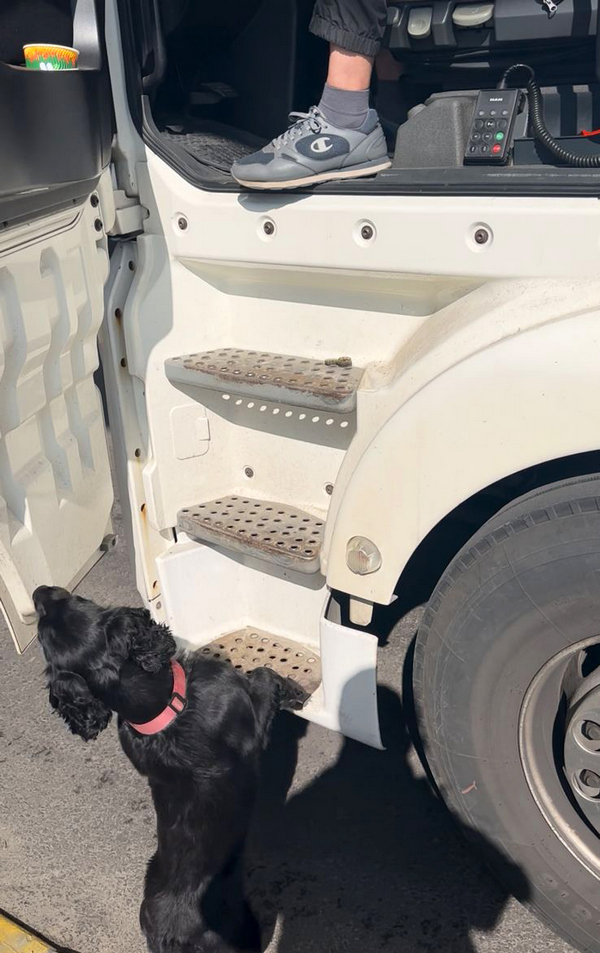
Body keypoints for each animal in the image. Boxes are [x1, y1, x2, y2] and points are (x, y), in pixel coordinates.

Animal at [34, 585, 308, 953]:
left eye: (70, 602)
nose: (38, 592)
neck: (165, 711)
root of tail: (172, 937)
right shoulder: (249, 711)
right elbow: (264, 674)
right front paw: (296, 691)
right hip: (248, 932)